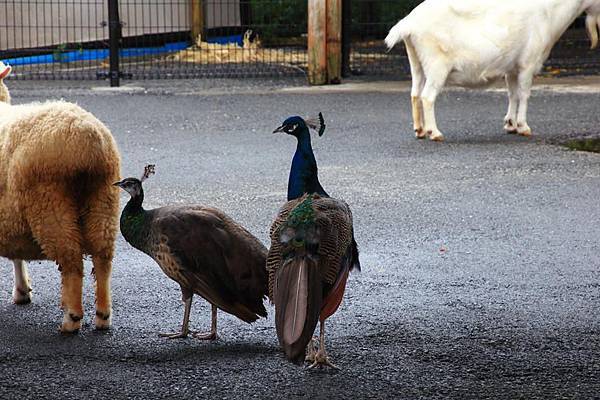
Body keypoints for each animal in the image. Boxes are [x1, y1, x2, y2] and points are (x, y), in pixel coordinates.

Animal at [0, 62, 122, 332]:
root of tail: (87, 136)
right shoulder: (10, 219)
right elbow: (16, 254)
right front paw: (22, 291)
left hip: (50, 206)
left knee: (72, 261)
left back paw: (71, 318)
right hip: (103, 201)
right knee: (103, 257)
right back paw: (103, 315)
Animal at [384, 0, 600, 142]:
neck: (550, 11)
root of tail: (408, 24)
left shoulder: (512, 67)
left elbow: (513, 94)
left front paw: (510, 124)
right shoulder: (527, 63)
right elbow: (524, 94)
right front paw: (523, 127)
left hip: (417, 62)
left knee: (415, 94)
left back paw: (420, 130)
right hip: (437, 64)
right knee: (427, 96)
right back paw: (434, 133)